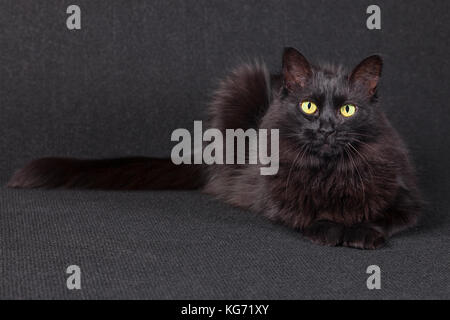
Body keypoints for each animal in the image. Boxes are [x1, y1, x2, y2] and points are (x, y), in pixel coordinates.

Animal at [7, 47, 422, 249]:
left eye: (348, 110)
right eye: (309, 107)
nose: (325, 127)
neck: (330, 172)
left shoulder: (408, 200)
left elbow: (384, 217)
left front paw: (362, 233)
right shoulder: (276, 199)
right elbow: (310, 215)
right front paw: (333, 230)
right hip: (240, 88)